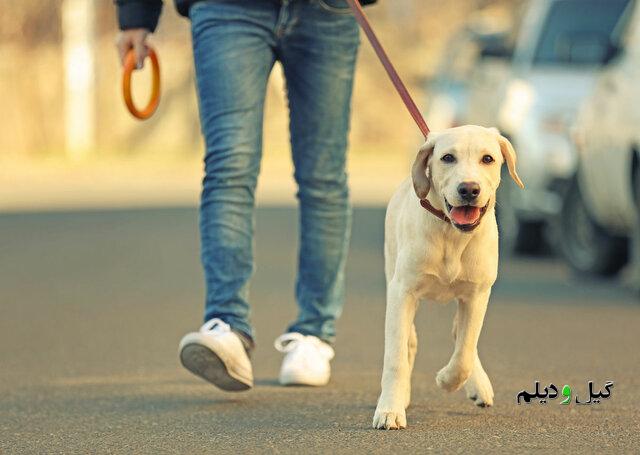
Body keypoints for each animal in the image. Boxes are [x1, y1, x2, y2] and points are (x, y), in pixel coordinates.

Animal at [372, 125, 524, 432]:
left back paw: (478, 385)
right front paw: (390, 409)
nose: (469, 189)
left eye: (488, 159)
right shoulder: (402, 292)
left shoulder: (477, 295)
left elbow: (465, 350)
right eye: (447, 158)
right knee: (409, 341)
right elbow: (395, 357)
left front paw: (447, 379)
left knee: (462, 335)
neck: (452, 235)